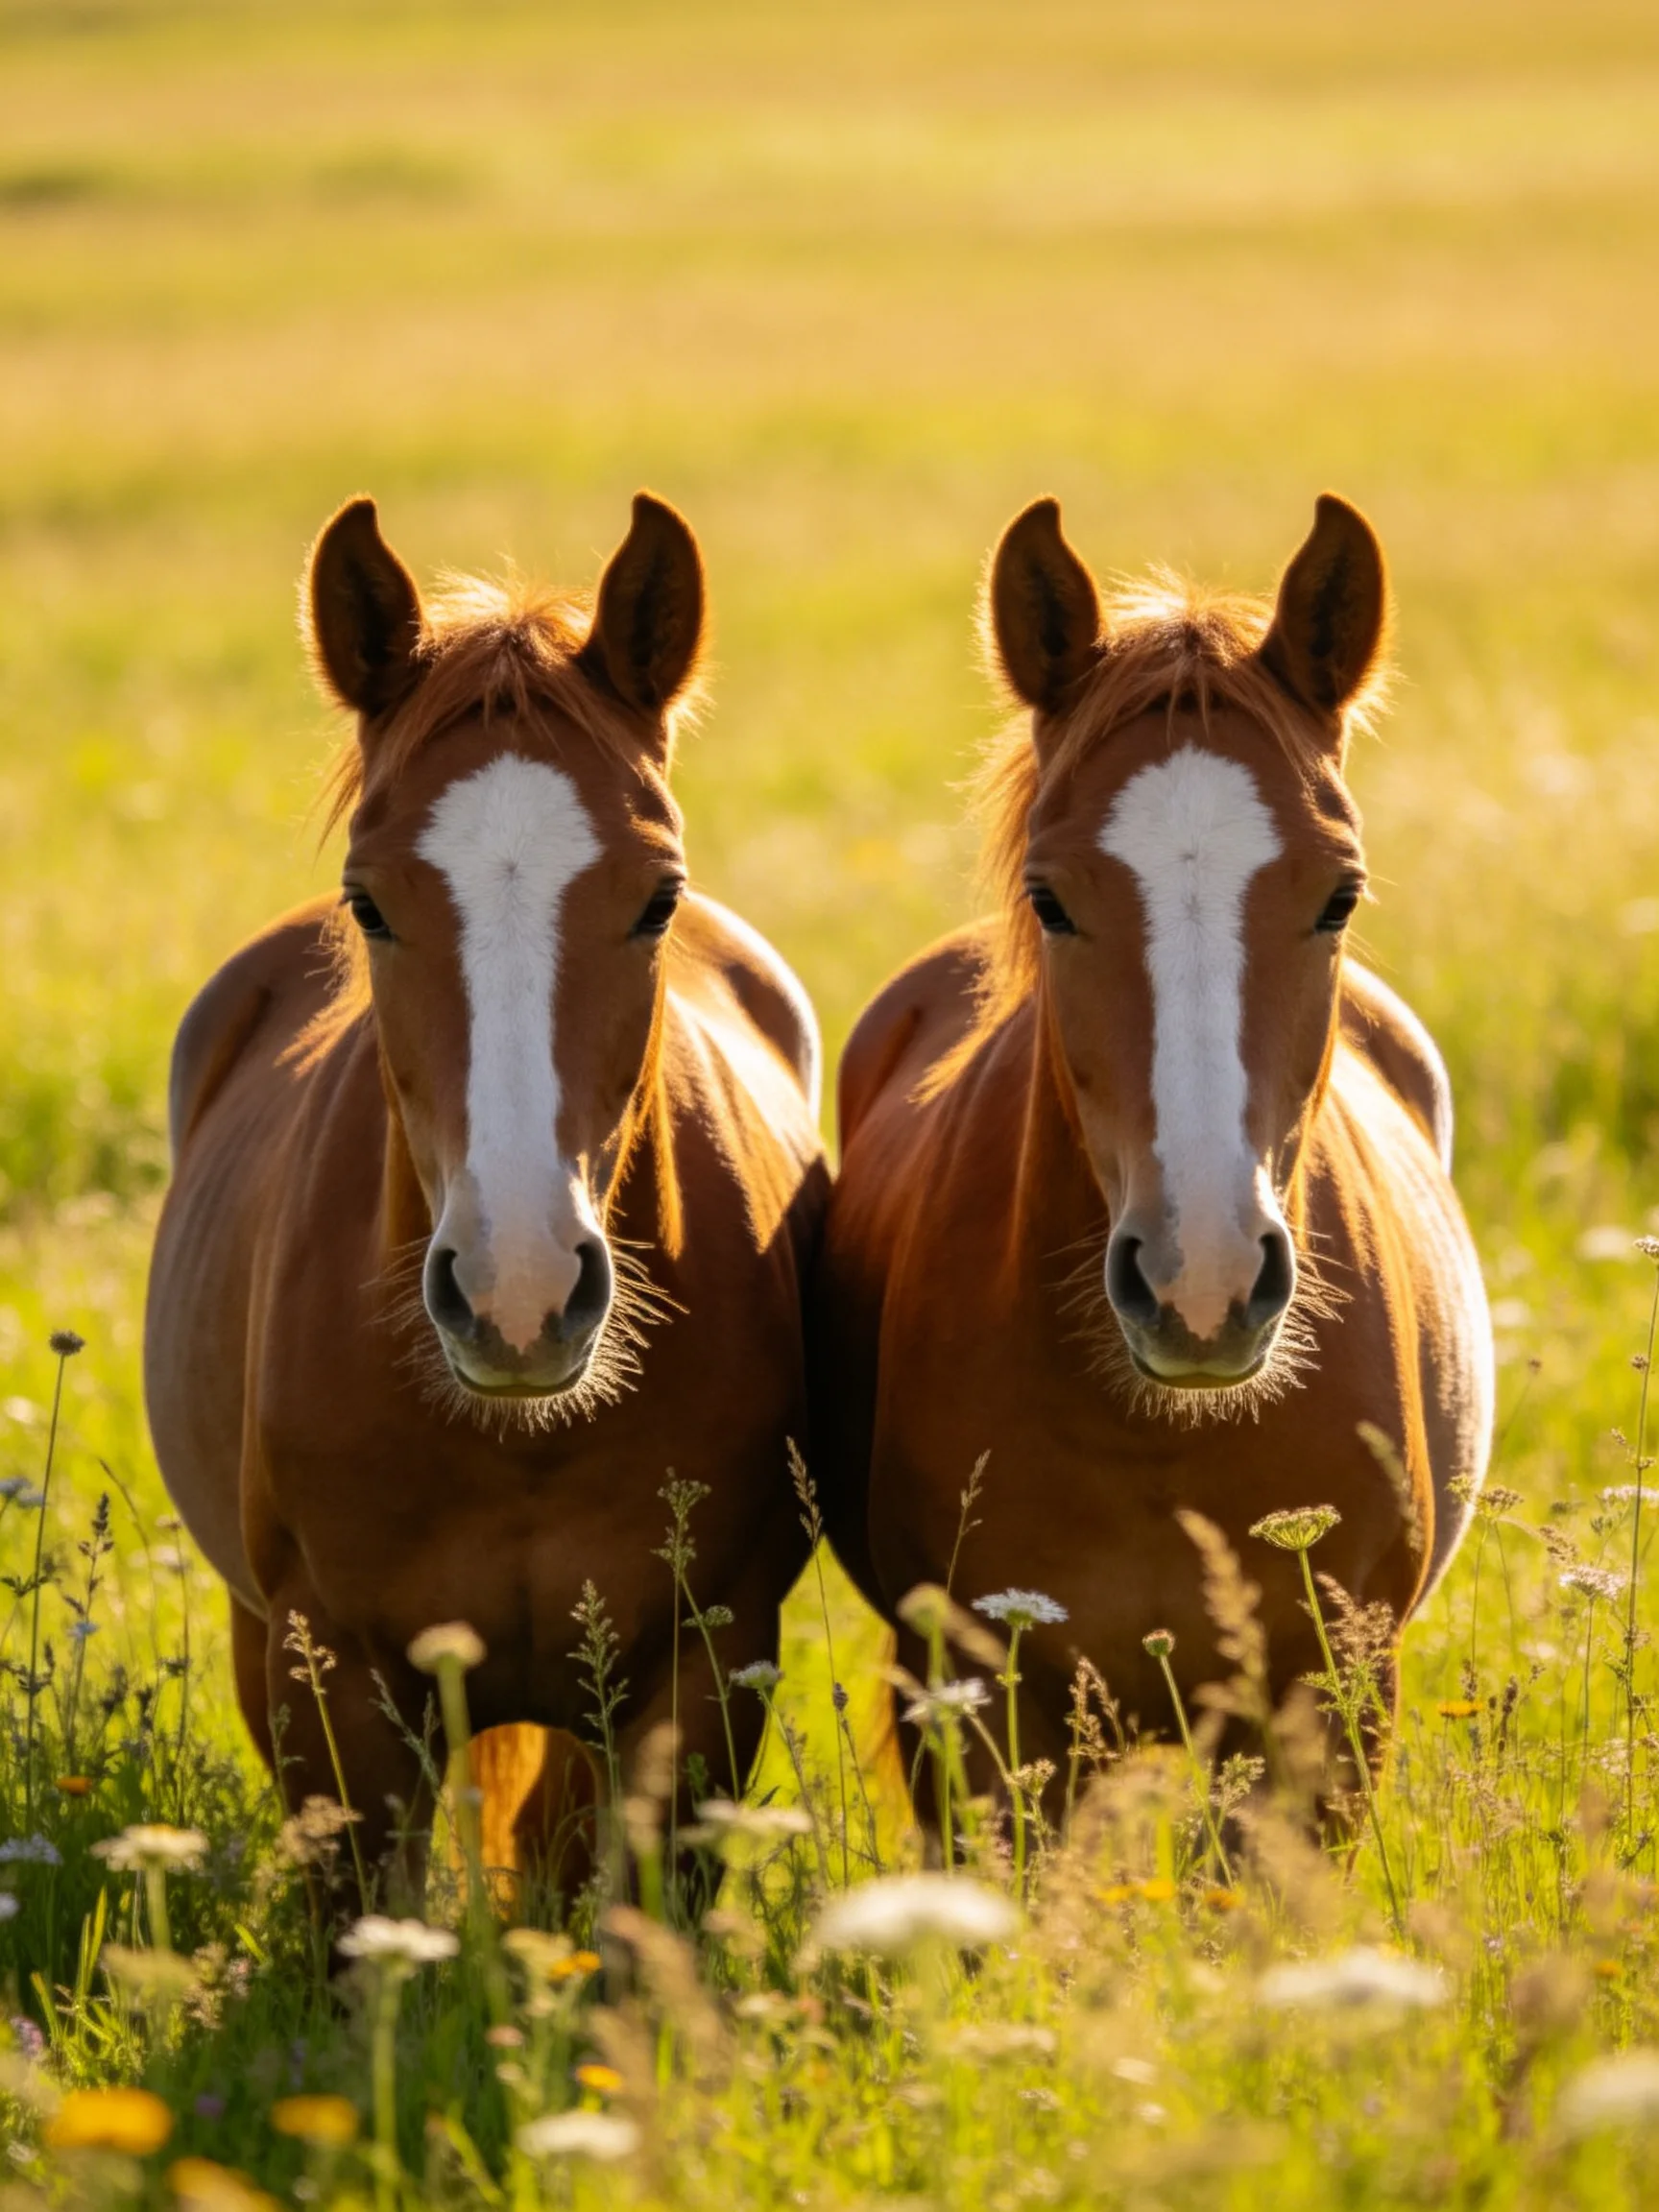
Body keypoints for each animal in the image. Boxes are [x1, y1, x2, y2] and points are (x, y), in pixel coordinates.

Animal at [813, 493, 1492, 1798]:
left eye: (1339, 894)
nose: (1203, 1284)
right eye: (1050, 897)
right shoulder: (982, 1717)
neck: (1160, 1435)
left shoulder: (1326, 1721)